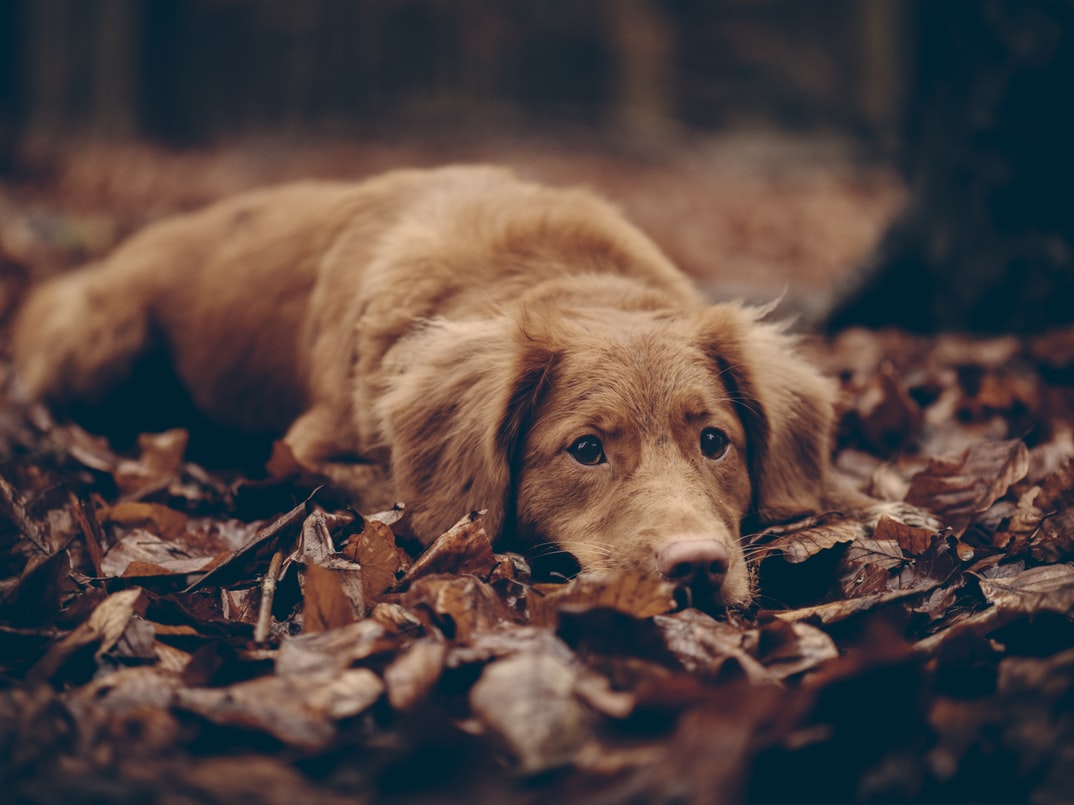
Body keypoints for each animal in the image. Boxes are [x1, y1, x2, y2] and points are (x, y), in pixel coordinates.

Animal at [12, 167, 842, 609]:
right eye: (585, 450)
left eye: (715, 441)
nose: (698, 565)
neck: (557, 272)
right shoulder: (310, 443)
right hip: (101, 343)